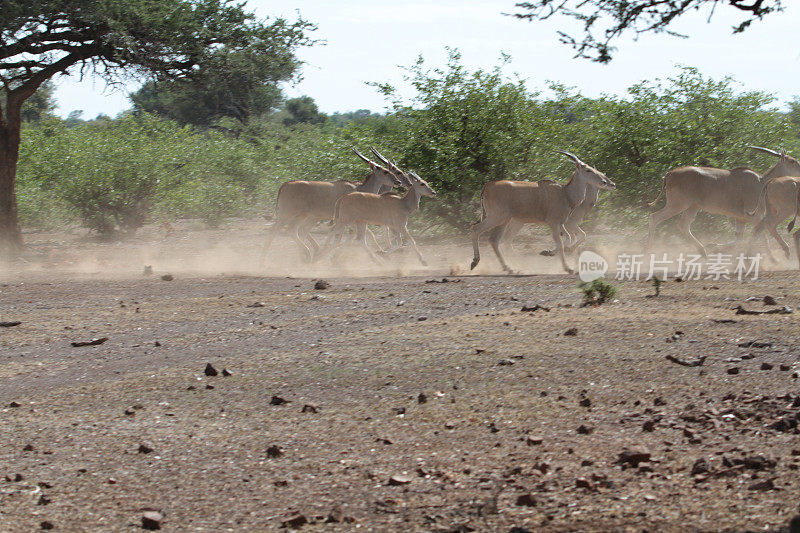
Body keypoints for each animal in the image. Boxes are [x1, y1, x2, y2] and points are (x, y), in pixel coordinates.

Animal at [260, 149, 400, 260]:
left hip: (302, 216)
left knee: (294, 230)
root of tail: (285, 185)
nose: (398, 182)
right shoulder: (349, 219)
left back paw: (306, 255)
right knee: (274, 231)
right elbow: (361, 235)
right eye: (385, 171)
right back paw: (264, 259)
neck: (359, 188)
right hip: (287, 214)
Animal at [466, 151, 616, 272]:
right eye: (588, 170)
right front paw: (567, 268)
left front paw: (547, 252)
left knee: (494, 240)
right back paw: (475, 262)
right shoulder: (555, 223)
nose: (607, 183)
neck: (566, 193)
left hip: (504, 221)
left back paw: (510, 268)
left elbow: (568, 239)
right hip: (497, 217)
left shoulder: (561, 224)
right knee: (476, 229)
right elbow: (562, 242)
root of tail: (487, 186)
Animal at [648, 144, 796, 255]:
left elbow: (740, 237)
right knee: (655, 217)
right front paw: (773, 259)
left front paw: (713, 245)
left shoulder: (741, 218)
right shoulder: (754, 216)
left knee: (683, 225)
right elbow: (761, 235)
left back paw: (703, 251)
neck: (762, 182)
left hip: (693, 207)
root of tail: (670, 173)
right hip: (677, 205)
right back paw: (648, 251)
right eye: (793, 161)